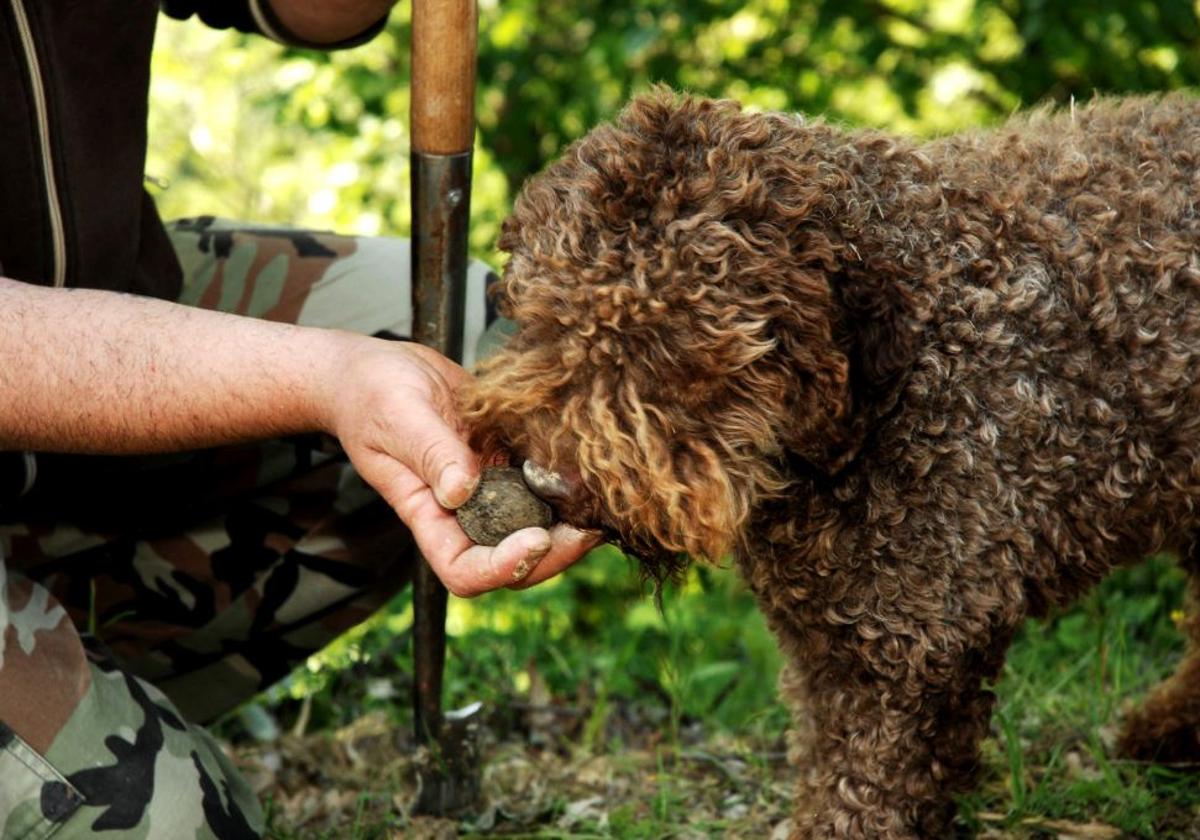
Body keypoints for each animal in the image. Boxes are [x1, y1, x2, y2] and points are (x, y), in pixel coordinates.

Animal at [463, 88, 1200, 835]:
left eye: (676, 352)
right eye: (548, 316)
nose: (546, 479)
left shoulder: (906, 645)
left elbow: (860, 791)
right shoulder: (827, 640)